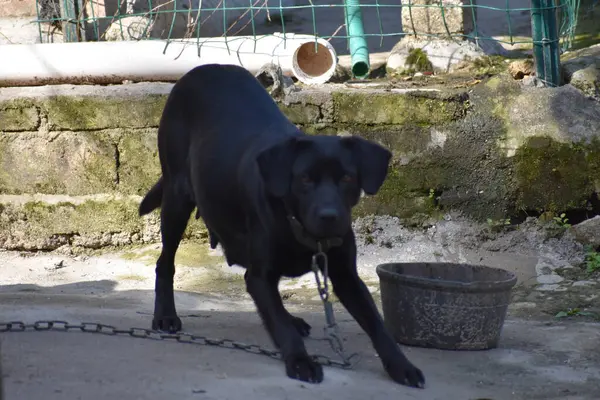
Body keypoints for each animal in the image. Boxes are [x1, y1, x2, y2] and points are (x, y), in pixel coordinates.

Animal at [138, 63, 424, 388]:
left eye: (347, 178)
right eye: (305, 179)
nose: (329, 216)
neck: (302, 232)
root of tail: (204, 68)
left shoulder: (346, 275)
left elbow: (376, 324)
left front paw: (401, 365)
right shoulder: (259, 276)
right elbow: (277, 321)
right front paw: (300, 361)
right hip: (176, 197)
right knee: (165, 263)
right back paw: (165, 316)